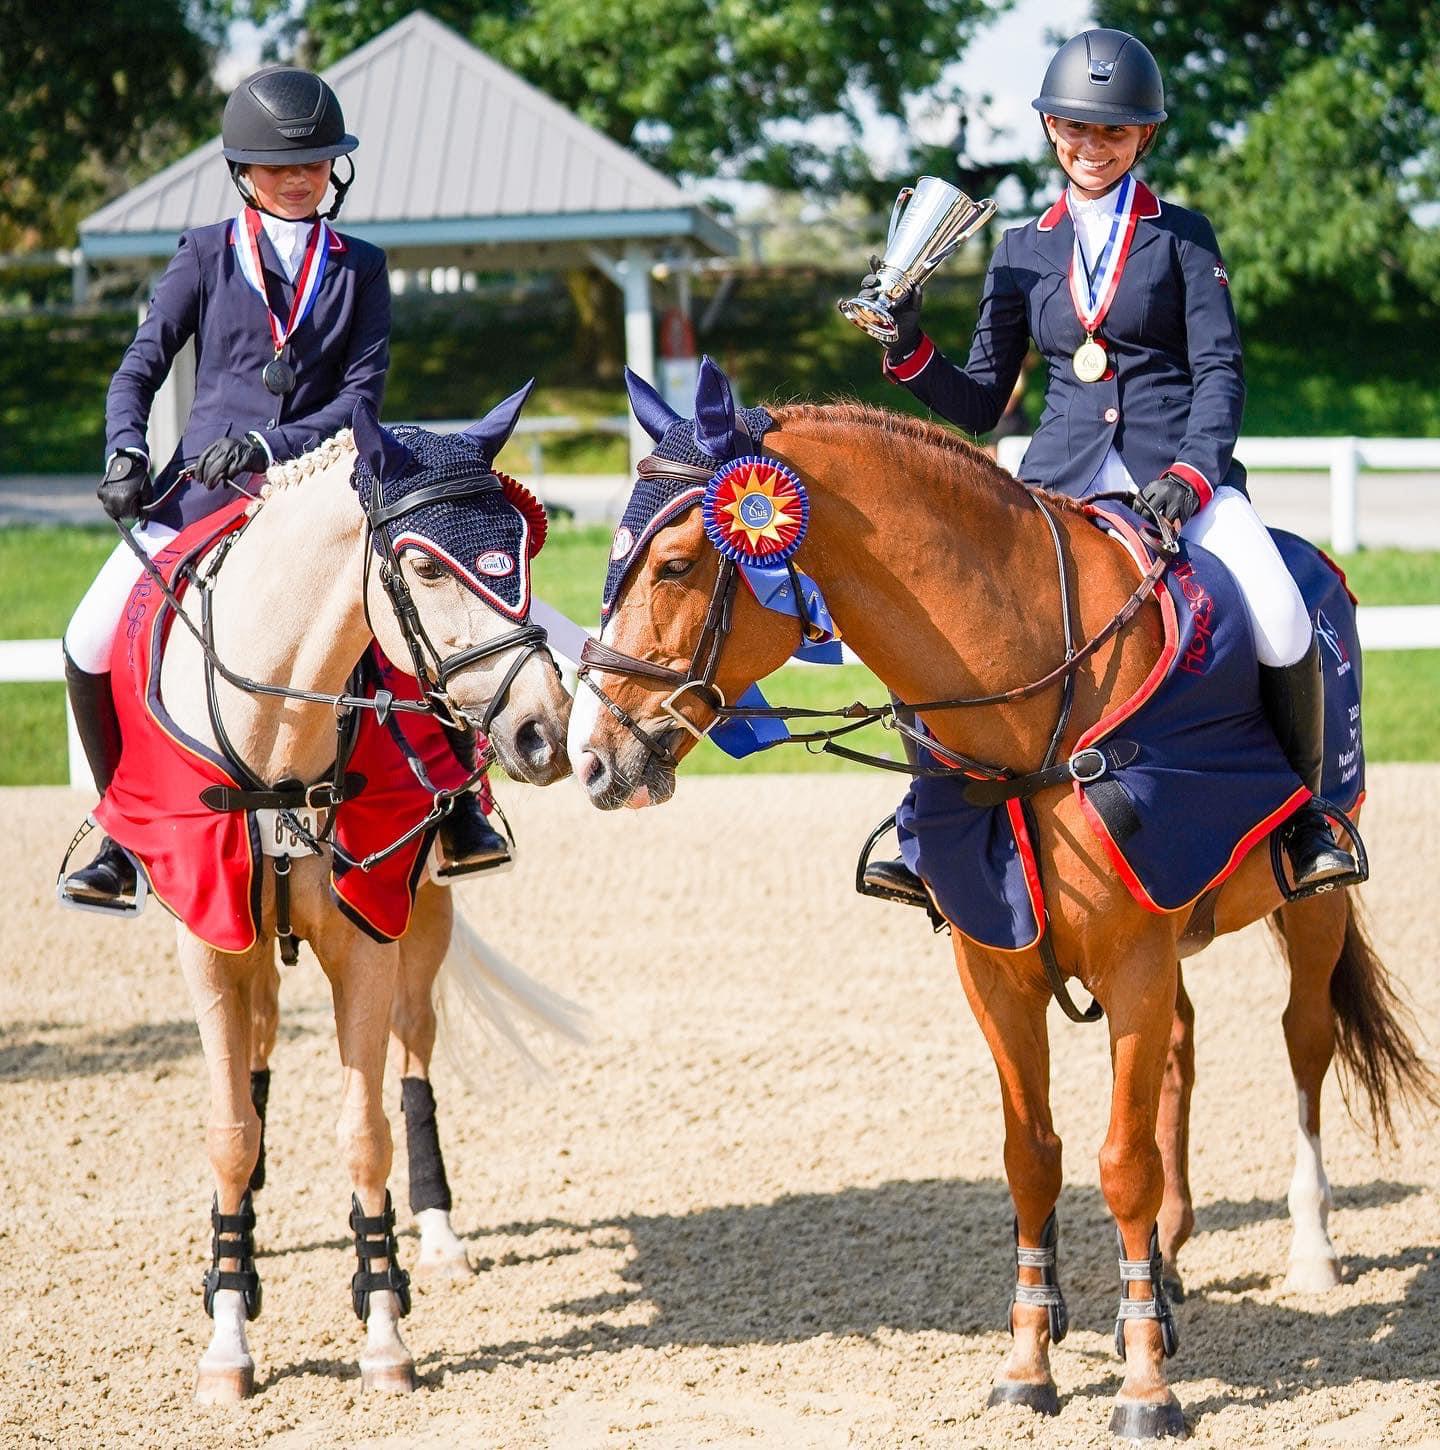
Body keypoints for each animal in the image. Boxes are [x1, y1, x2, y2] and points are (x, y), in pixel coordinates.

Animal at [90, 395, 574, 1402]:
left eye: (522, 552)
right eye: (424, 566)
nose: (542, 732)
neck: (276, 733)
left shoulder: (367, 938)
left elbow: (367, 1133)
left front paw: (384, 1332)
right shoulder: (211, 939)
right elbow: (230, 1131)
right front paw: (228, 1330)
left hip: (425, 922)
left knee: (417, 1055)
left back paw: (435, 1241)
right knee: (260, 1059)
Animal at [566, 360, 1436, 1439]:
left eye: (678, 565)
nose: (591, 758)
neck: (1031, 696)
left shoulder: (1132, 957)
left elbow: (1120, 1162)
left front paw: (1145, 1385)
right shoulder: (995, 962)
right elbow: (1034, 1155)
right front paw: (1033, 1357)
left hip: (1307, 906)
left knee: (1303, 1039)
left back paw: (1308, 1250)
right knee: (1182, 1049)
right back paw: (1166, 1269)